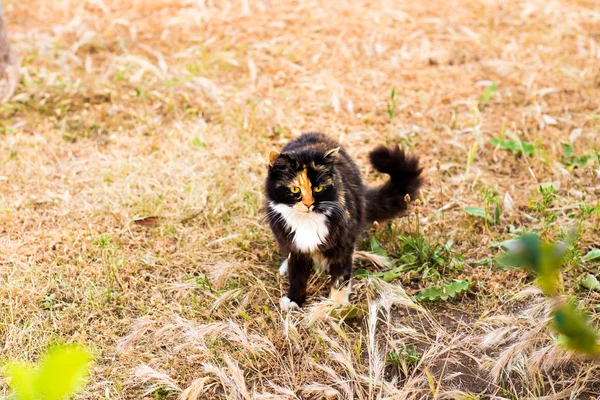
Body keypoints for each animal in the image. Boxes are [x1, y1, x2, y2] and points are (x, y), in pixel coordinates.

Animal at [264, 133, 424, 310]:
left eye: (318, 189)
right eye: (294, 190)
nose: (308, 204)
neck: (307, 221)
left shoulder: (343, 244)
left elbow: (340, 277)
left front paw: (336, 305)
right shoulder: (294, 247)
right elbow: (297, 275)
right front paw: (294, 299)